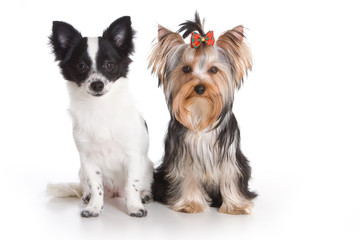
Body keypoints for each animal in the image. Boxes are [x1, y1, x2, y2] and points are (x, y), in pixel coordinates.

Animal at [47, 17, 153, 218]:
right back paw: (87, 196)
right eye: (81, 66)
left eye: (109, 65)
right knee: (89, 187)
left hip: (149, 166)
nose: (97, 84)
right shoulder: (88, 160)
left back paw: (144, 195)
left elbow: (132, 185)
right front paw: (94, 207)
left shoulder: (133, 157)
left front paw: (135, 206)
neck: (99, 107)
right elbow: (96, 186)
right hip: (81, 171)